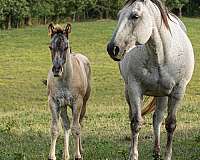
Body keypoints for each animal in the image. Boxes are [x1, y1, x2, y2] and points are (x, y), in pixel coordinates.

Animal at [107, 0, 195, 160]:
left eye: (135, 16)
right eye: (119, 15)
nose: (113, 48)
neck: (160, 55)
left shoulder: (178, 91)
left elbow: (170, 124)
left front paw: (167, 155)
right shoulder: (135, 89)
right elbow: (136, 123)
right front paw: (133, 155)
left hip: (163, 95)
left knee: (157, 118)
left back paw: (157, 151)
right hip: (130, 92)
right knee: (135, 116)